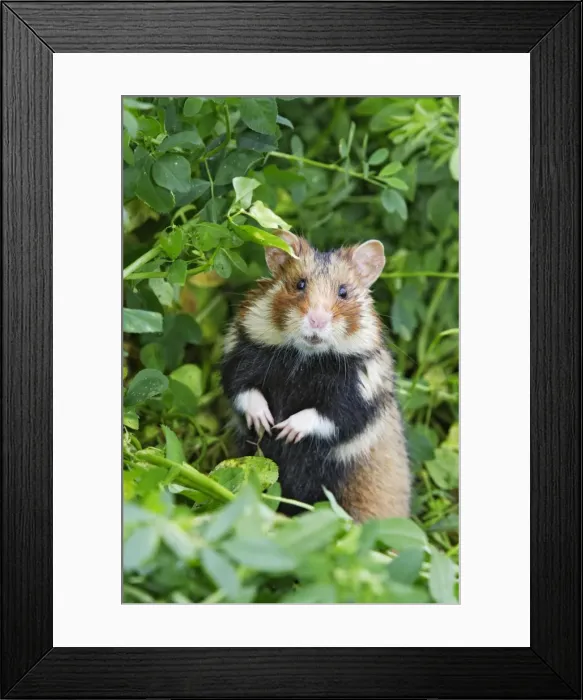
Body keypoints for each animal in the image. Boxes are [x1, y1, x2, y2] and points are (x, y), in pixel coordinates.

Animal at [221, 230, 410, 522]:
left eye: (343, 292)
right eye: (300, 284)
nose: (316, 321)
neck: (307, 357)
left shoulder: (357, 392)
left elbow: (330, 415)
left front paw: (286, 431)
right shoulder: (240, 355)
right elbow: (244, 389)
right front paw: (265, 423)